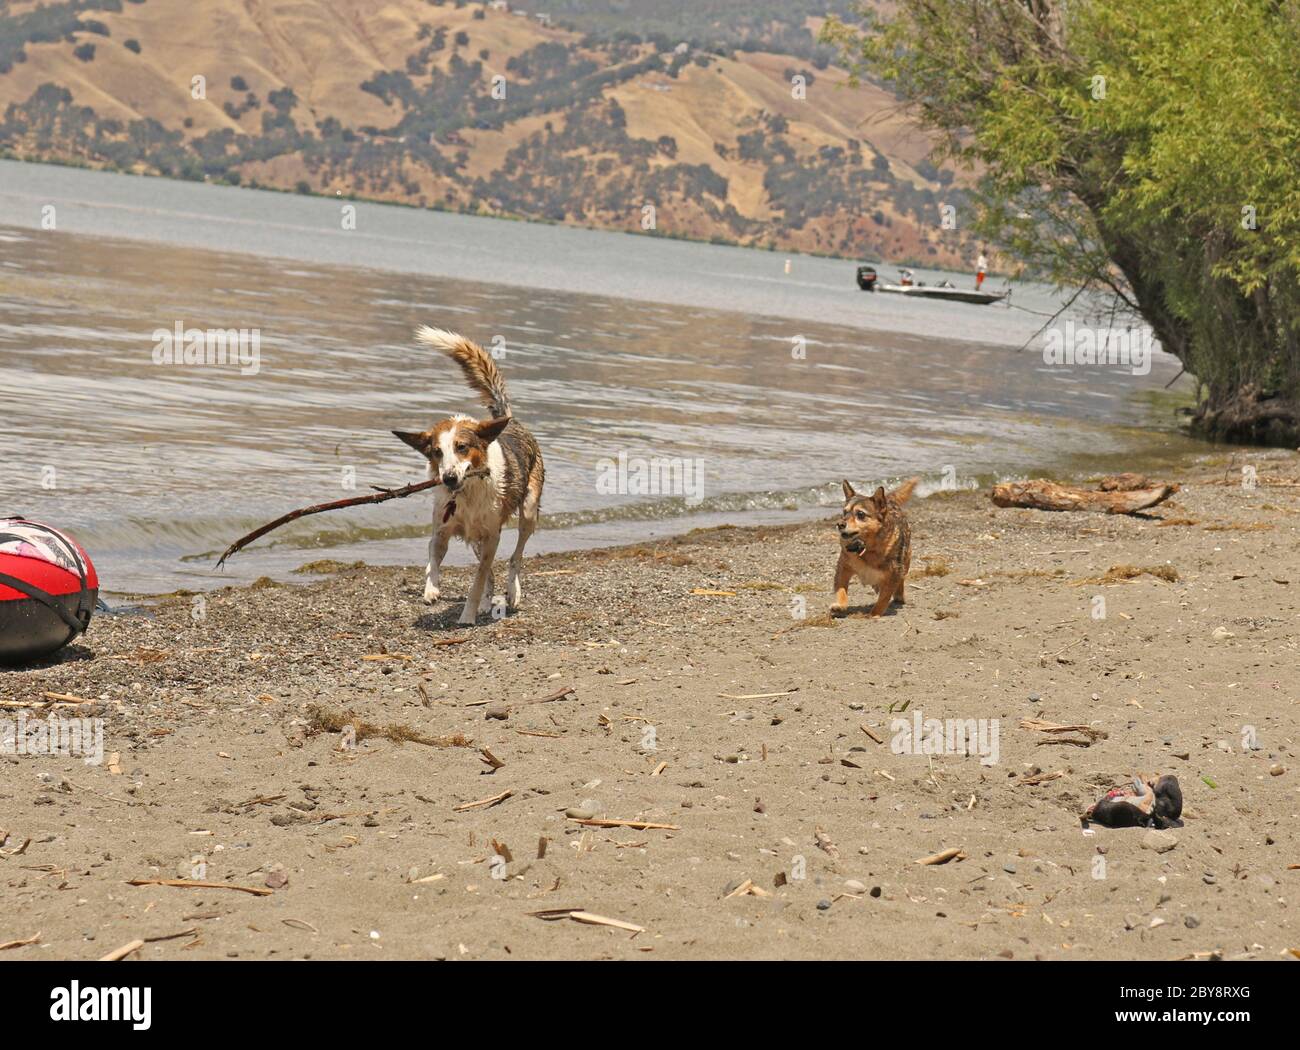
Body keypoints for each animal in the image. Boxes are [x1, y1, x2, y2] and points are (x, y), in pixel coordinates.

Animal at [390, 327, 543, 623]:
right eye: (437, 452)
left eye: (462, 447)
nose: (448, 478)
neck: (467, 494)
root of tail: (509, 420)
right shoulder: (442, 529)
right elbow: (433, 556)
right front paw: (431, 589)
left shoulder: (492, 536)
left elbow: (477, 580)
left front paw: (467, 616)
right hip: (476, 538)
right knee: (491, 570)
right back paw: (486, 602)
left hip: (528, 511)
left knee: (515, 558)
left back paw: (512, 591)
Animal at [832, 480, 915, 618]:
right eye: (844, 512)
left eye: (860, 514)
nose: (840, 524)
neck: (867, 547)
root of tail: (889, 501)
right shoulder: (843, 567)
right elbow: (841, 588)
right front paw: (839, 605)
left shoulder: (893, 574)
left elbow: (883, 598)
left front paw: (874, 614)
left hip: (906, 561)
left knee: (901, 580)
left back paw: (899, 595)